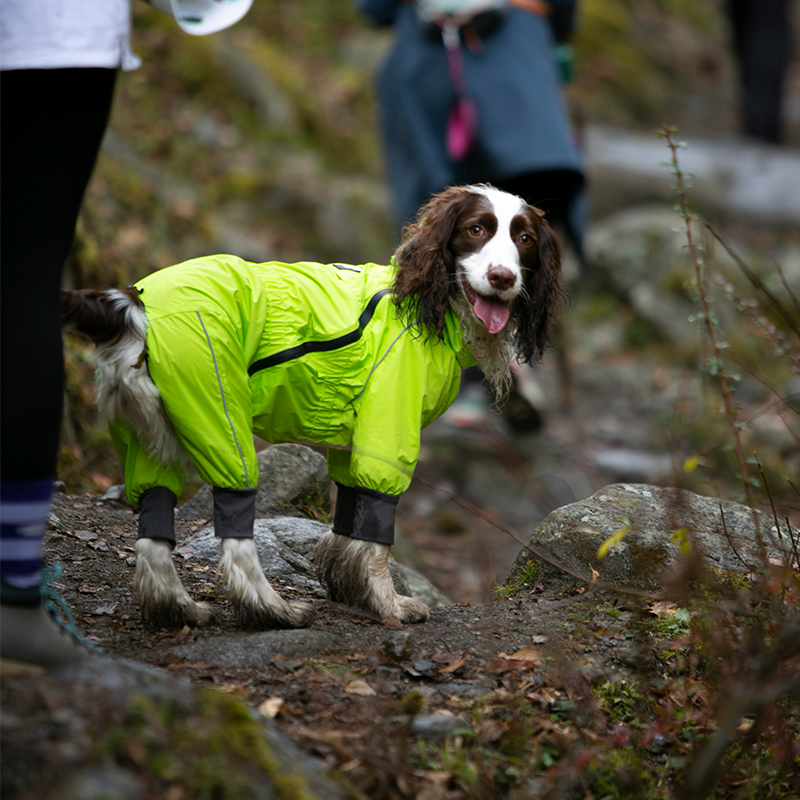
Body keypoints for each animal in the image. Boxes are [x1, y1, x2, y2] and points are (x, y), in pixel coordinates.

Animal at [62, 184, 564, 628]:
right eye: (477, 229)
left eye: (524, 239)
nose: (503, 278)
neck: (428, 304)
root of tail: (131, 303)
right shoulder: (388, 428)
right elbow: (376, 525)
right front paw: (387, 604)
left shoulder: (356, 440)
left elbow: (352, 514)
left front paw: (350, 588)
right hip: (218, 415)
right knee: (236, 534)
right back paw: (271, 611)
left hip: (152, 435)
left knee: (153, 523)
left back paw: (178, 610)